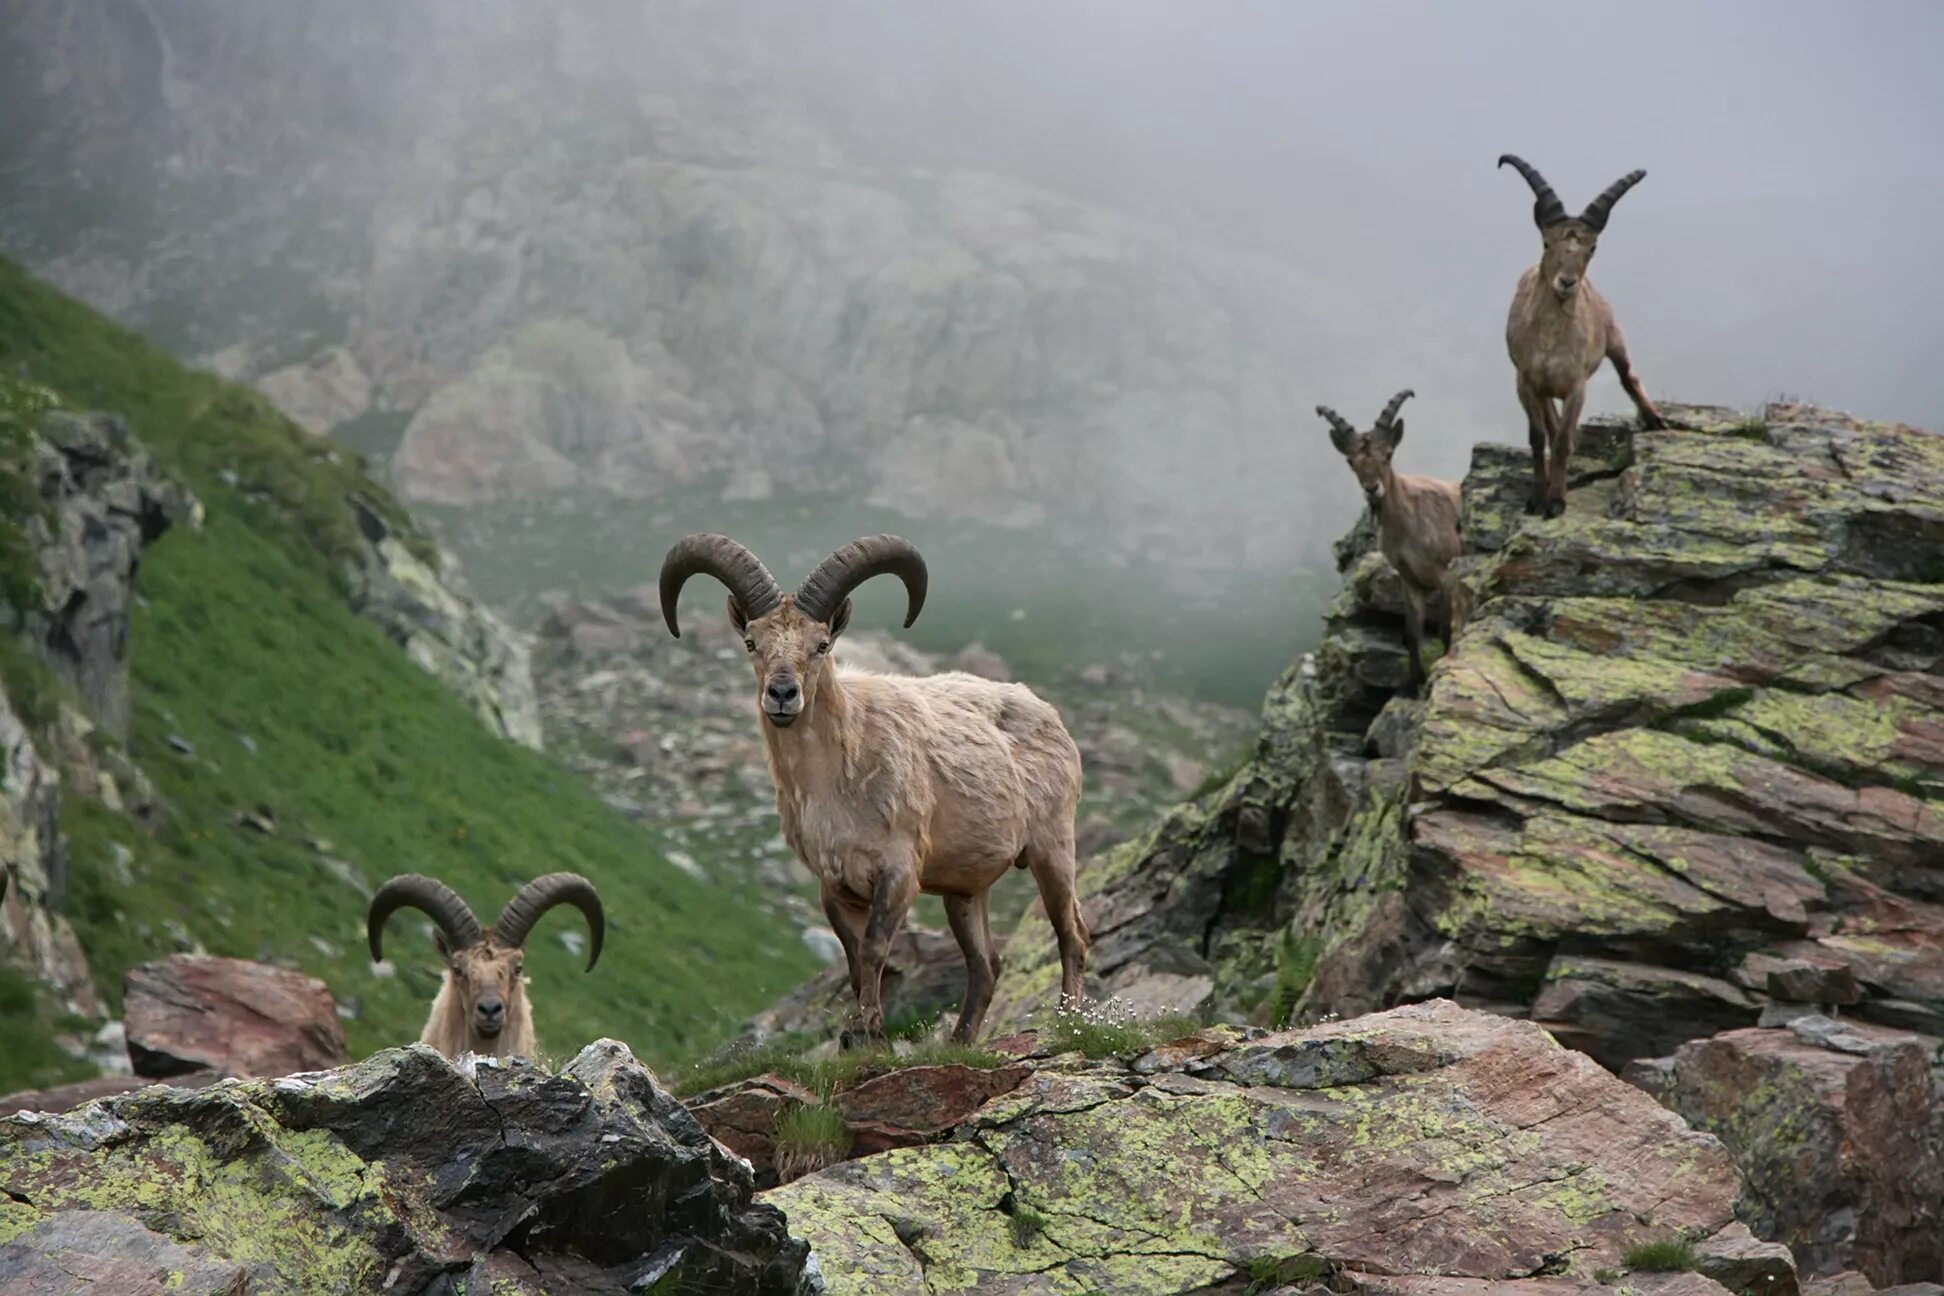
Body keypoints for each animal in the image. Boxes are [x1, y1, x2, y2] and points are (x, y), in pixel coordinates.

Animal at [657, 532, 1088, 1049]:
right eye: (751, 642)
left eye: (822, 644)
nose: (782, 695)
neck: (840, 774)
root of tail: (1048, 714)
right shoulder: (834, 885)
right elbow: (853, 957)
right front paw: (859, 1034)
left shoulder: (899, 872)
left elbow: (875, 949)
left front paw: (865, 1031)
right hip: (964, 889)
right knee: (986, 964)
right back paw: (960, 1041)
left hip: (1052, 847)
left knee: (1071, 935)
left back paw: (1068, 1024)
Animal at [1314, 390, 1461, 695]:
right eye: (1350, 461)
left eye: (1389, 454)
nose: (1372, 489)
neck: (1407, 526)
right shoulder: (1410, 580)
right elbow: (1412, 633)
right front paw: (1413, 685)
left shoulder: (1446, 574)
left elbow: (1445, 629)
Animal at [1492, 152, 1664, 516]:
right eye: (1547, 241)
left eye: (1592, 247)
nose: (1567, 282)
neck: (1549, 340)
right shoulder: (1526, 382)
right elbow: (1539, 437)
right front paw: (1536, 498)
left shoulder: (1576, 385)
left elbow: (1562, 441)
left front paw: (1556, 501)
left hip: (1614, 336)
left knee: (1628, 375)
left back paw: (1654, 418)